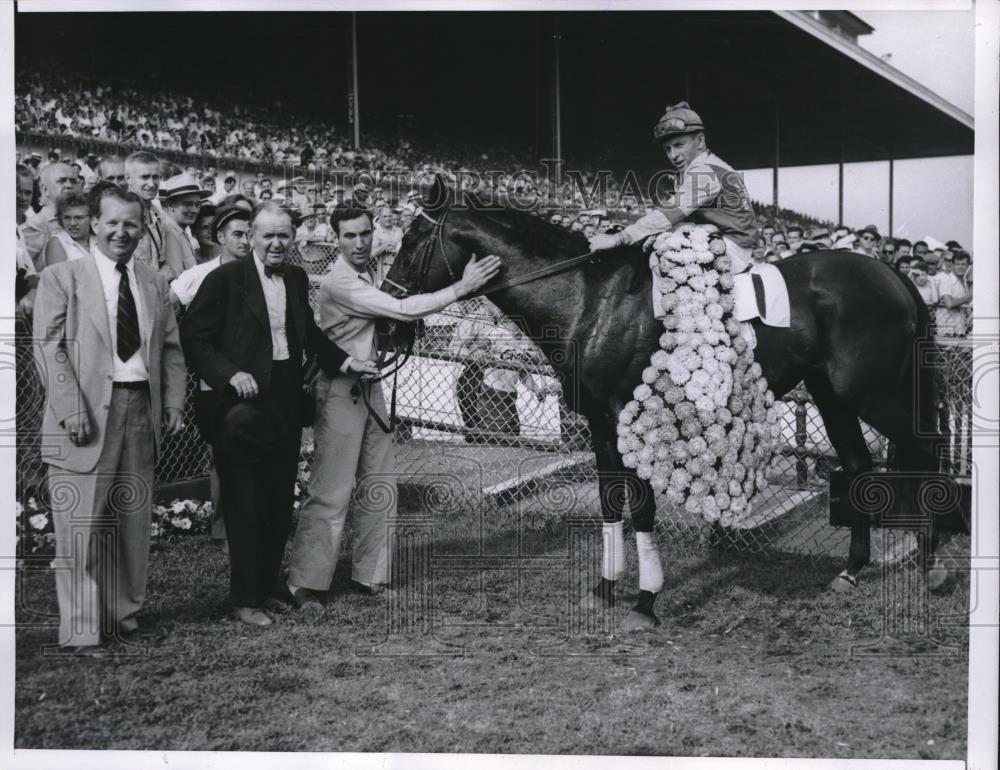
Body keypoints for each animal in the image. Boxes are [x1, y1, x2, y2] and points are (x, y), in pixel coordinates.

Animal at [380, 180, 944, 632]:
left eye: (410, 242)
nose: (387, 320)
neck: (591, 298)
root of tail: (892, 276)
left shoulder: (635, 420)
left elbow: (643, 508)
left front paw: (647, 601)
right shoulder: (601, 422)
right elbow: (611, 503)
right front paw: (606, 589)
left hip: (874, 392)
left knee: (925, 452)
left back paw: (932, 565)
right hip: (833, 395)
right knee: (860, 464)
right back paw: (852, 570)